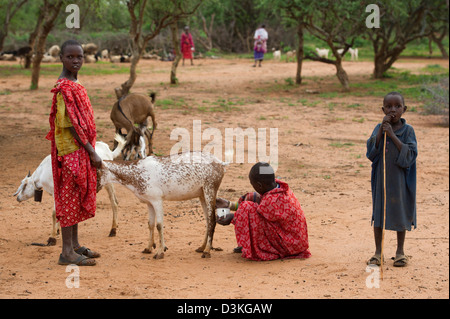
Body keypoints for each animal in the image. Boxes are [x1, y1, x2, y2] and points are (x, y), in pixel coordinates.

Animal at [96, 152, 227, 260]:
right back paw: (201, 247)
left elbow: (159, 225)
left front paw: (160, 252)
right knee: (208, 220)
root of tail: (220, 163)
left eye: (97, 172)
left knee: (212, 219)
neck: (137, 172)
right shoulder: (149, 202)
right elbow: (150, 224)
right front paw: (148, 248)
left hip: (210, 189)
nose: (95, 189)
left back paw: (207, 251)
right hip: (202, 195)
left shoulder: (157, 200)